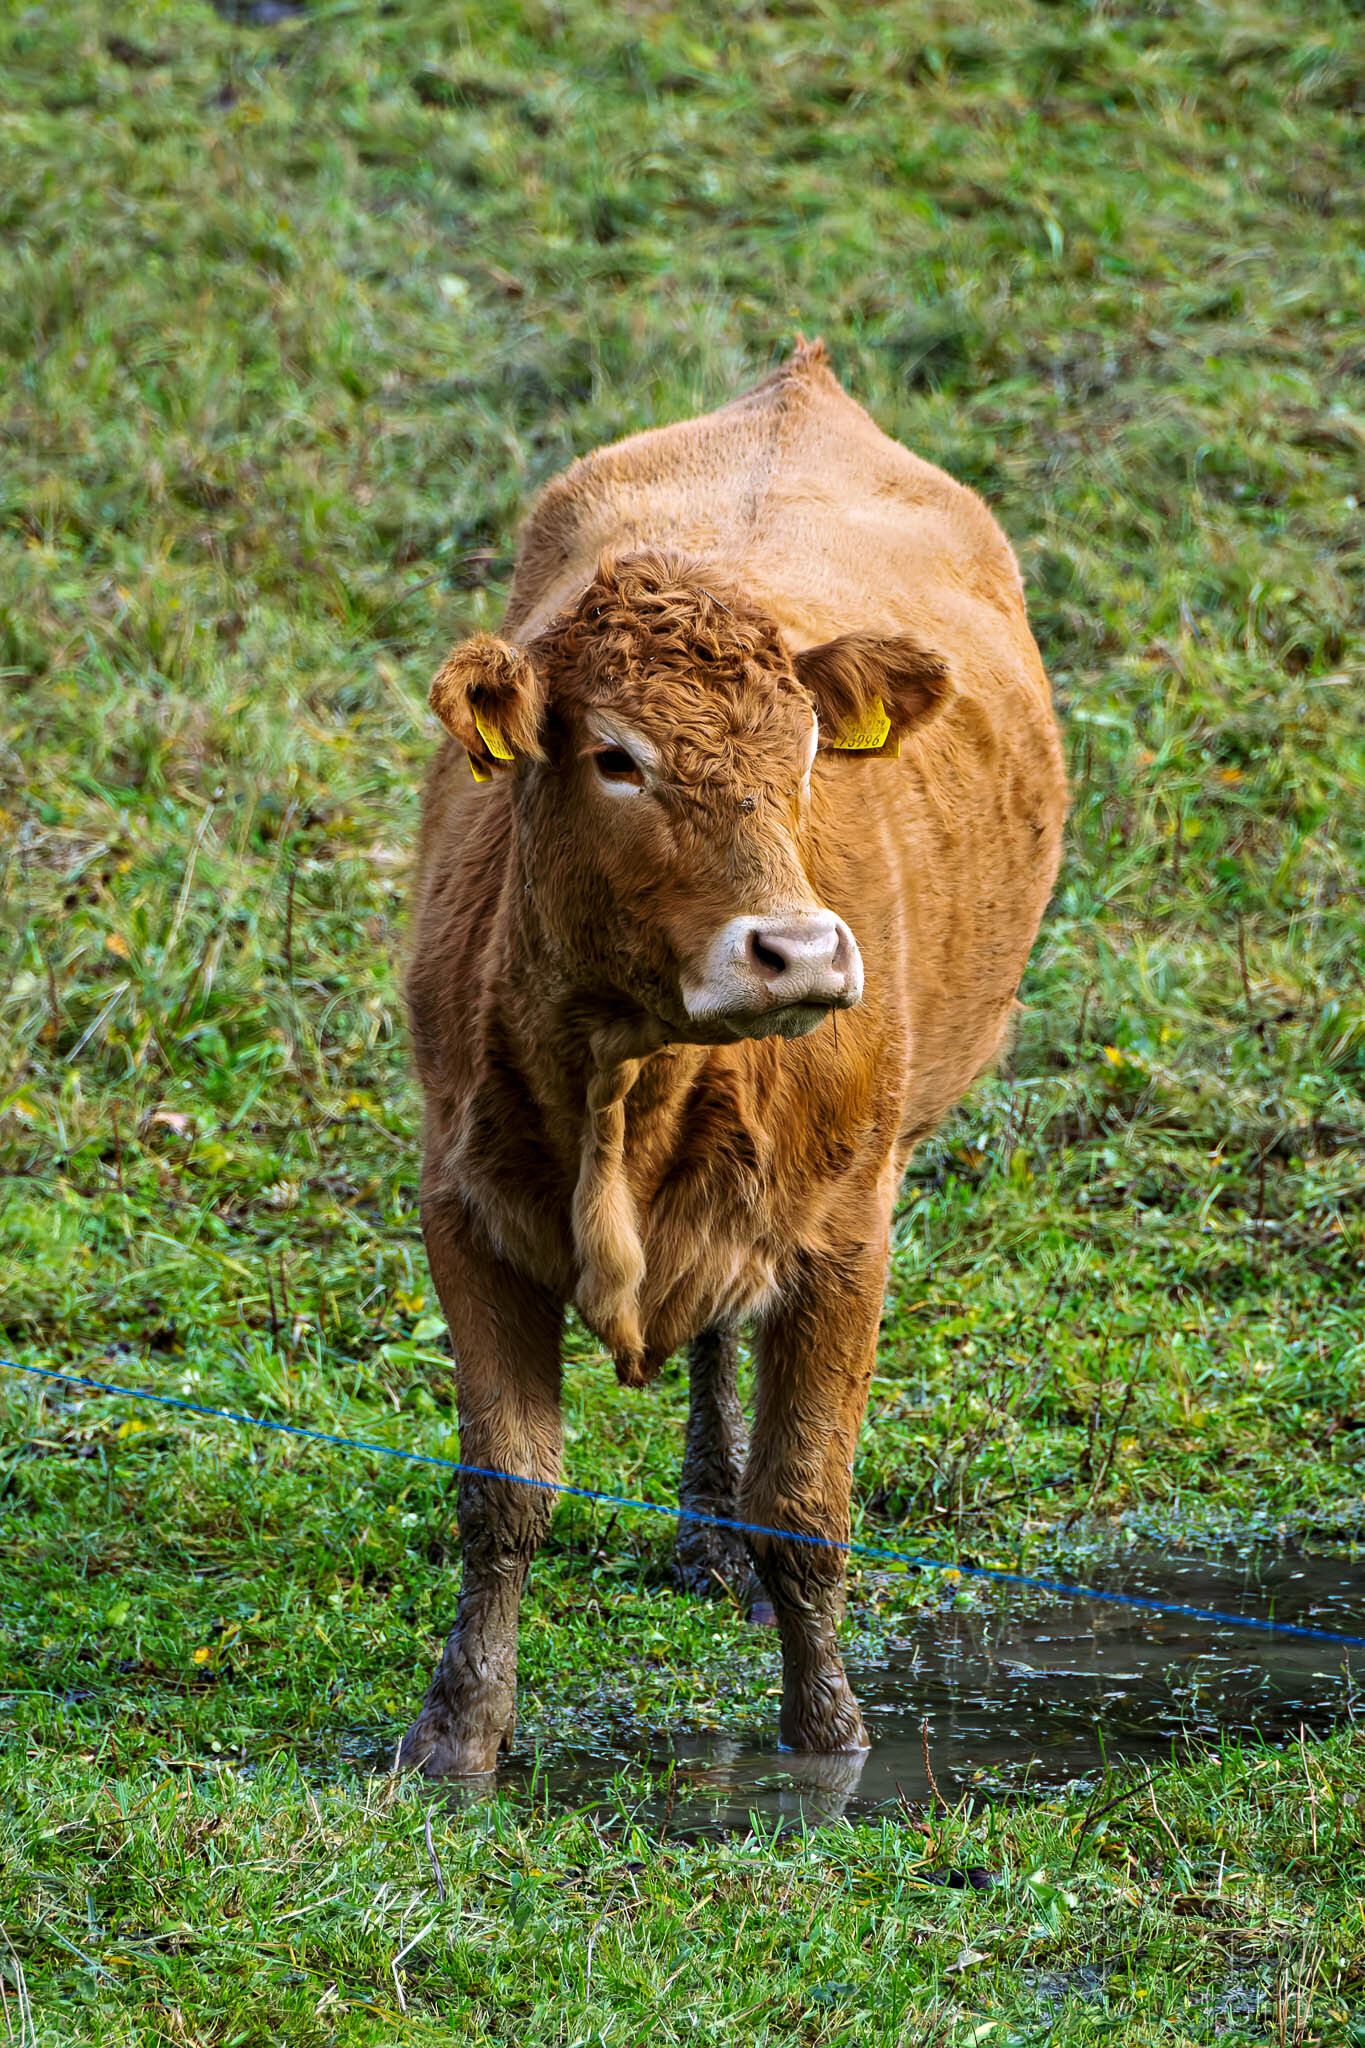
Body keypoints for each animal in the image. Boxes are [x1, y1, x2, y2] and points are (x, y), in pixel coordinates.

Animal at [399, 341, 1066, 1777]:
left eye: (806, 746)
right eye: (615, 757)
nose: (798, 952)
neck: (626, 1081)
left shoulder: (848, 1231)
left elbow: (805, 1503)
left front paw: (829, 1736)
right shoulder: (461, 1207)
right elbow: (504, 1490)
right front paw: (457, 1733)